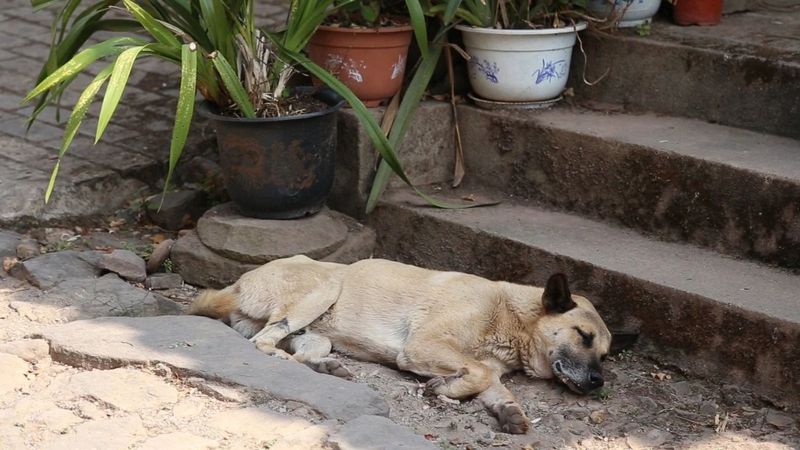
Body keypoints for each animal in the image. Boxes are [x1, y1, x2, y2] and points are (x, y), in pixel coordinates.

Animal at [189, 255, 612, 434]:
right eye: (583, 336)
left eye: (605, 354)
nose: (598, 382)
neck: (511, 317)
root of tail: (237, 283)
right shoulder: (423, 346)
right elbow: (474, 373)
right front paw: (442, 387)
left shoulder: (488, 369)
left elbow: (493, 385)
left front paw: (508, 411)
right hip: (324, 289)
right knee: (264, 343)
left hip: (319, 334)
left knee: (301, 351)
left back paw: (329, 367)